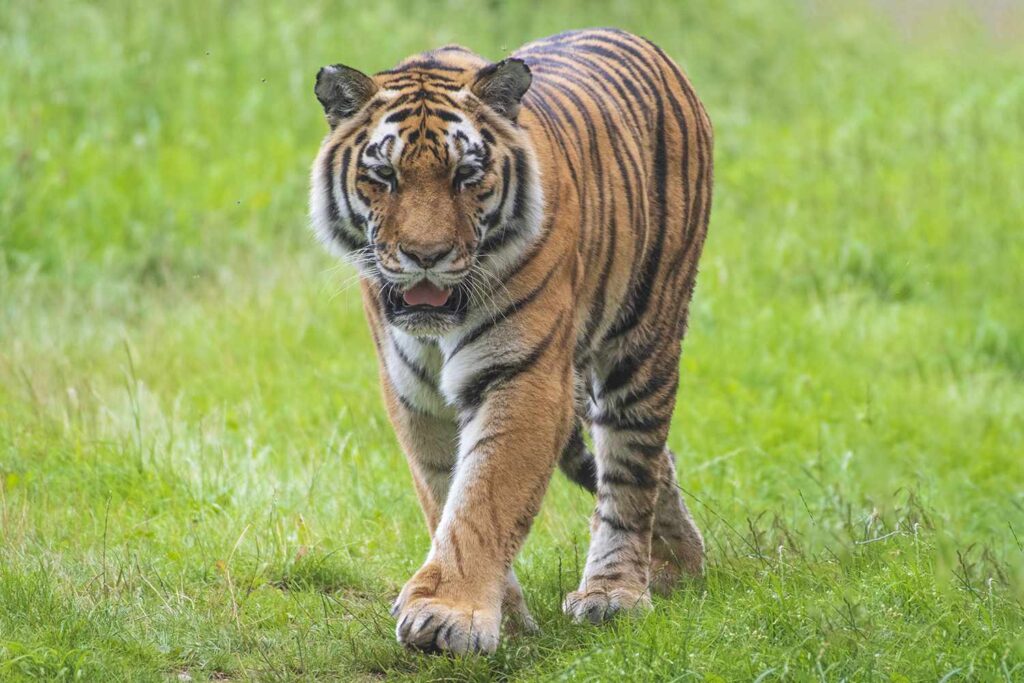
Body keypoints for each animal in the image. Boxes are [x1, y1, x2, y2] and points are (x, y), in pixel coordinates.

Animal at [309, 28, 712, 655]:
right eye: (385, 177)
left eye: (466, 176)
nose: (426, 256)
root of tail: (641, 41)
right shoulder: (413, 395)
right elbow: (444, 495)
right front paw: (503, 614)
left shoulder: (522, 377)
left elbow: (484, 497)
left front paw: (447, 615)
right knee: (652, 468)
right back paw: (679, 564)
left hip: (644, 337)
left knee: (632, 468)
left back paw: (616, 592)